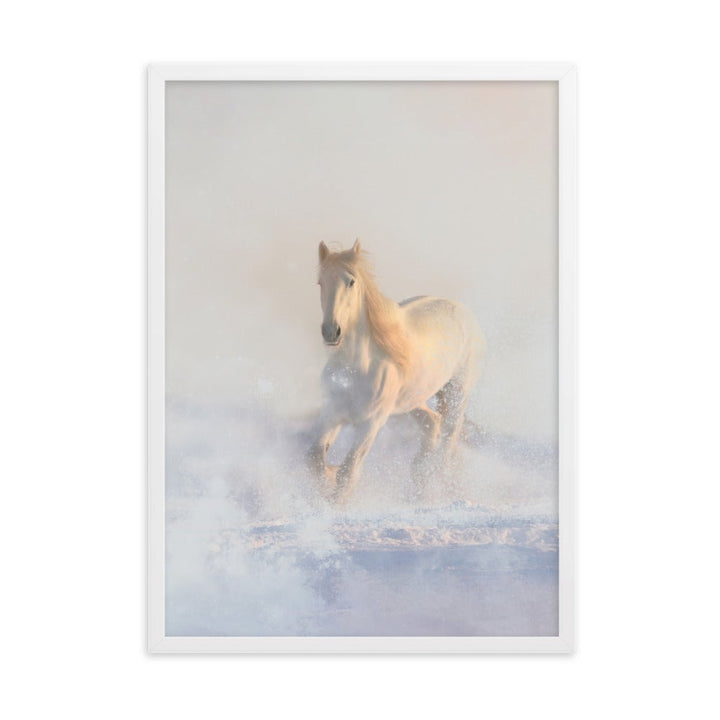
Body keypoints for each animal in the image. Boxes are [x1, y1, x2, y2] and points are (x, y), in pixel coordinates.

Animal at [306, 239, 486, 503]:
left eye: (351, 281)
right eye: (321, 282)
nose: (331, 331)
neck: (356, 369)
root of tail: (463, 312)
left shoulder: (371, 423)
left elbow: (348, 472)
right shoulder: (332, 413)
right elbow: (315, 459)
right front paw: (327, 483)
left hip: (457, 393)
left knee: (449, 439)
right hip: (413, 400)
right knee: (433, 424)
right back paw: (419, 486)